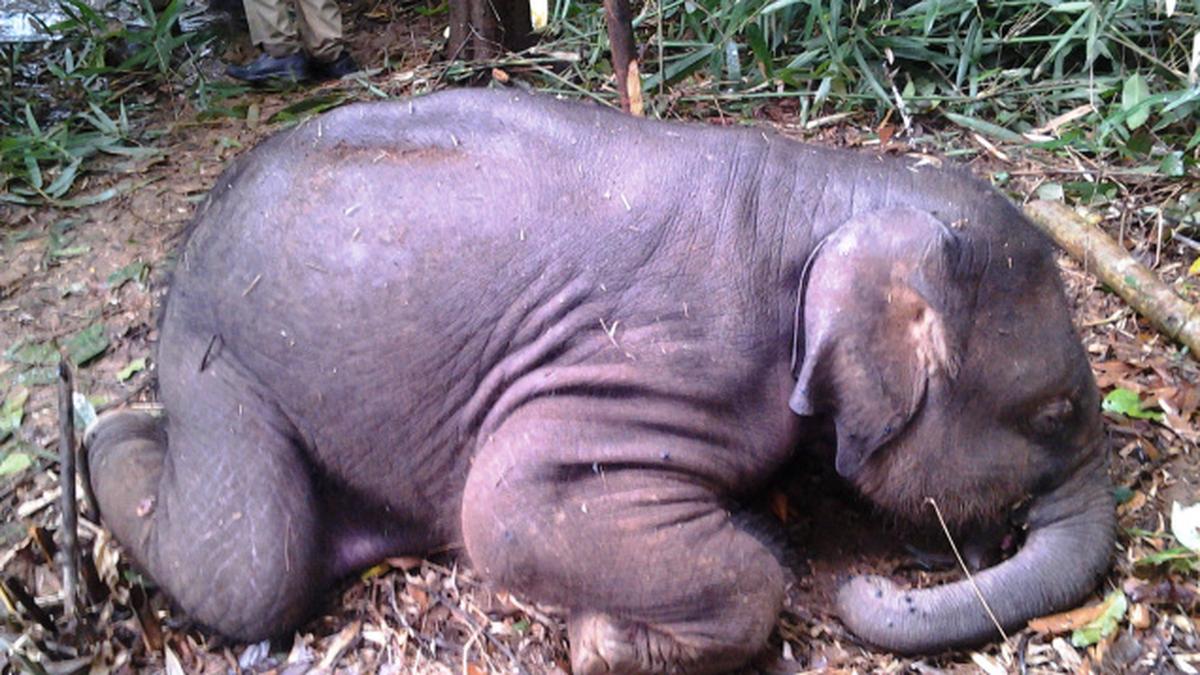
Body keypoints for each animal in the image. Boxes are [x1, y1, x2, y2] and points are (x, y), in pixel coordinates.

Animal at [85, 88, 1114, 673]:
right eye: (1054, 411)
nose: (878, 578)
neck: (827, 191)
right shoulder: (665, 357)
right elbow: (506, 508)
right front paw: (604, 640)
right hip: (220, 361)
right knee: (249, 568)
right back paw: (106, 433)